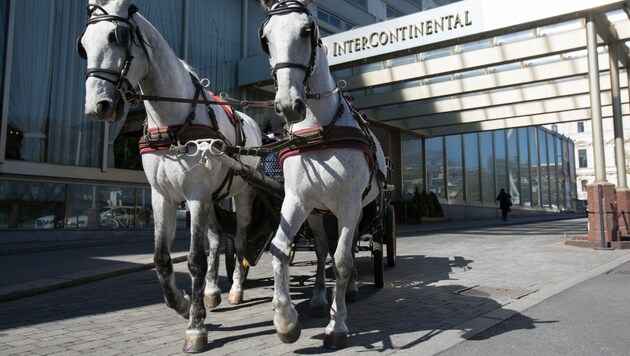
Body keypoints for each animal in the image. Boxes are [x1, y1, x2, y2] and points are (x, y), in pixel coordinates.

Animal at [78, 0, 262, 350]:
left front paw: (196, 326)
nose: (98, 106)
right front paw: (183, 303)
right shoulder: (162, 195)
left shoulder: (196, 194)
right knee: (217, 240)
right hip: (216, 195)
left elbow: (194, 259)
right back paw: (211, 291)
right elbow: (161, 259)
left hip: (243, 192)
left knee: (241, 238)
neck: (172, 121)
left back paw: (235, 288)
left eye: (117, 37)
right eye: (83, 46)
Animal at [260, 0, 388, 350]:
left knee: (350, 247)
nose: (289, 105)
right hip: (318, 213)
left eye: (307, 30)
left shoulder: (349, 205)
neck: (318, 130)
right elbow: (280, 248)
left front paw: (337, 325)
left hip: (360, 209)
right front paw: (286, 321)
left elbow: (343, 260)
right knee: (320, 251)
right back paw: (318, 298)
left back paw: (352, 288)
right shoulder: (296, 200)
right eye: (265, 38)